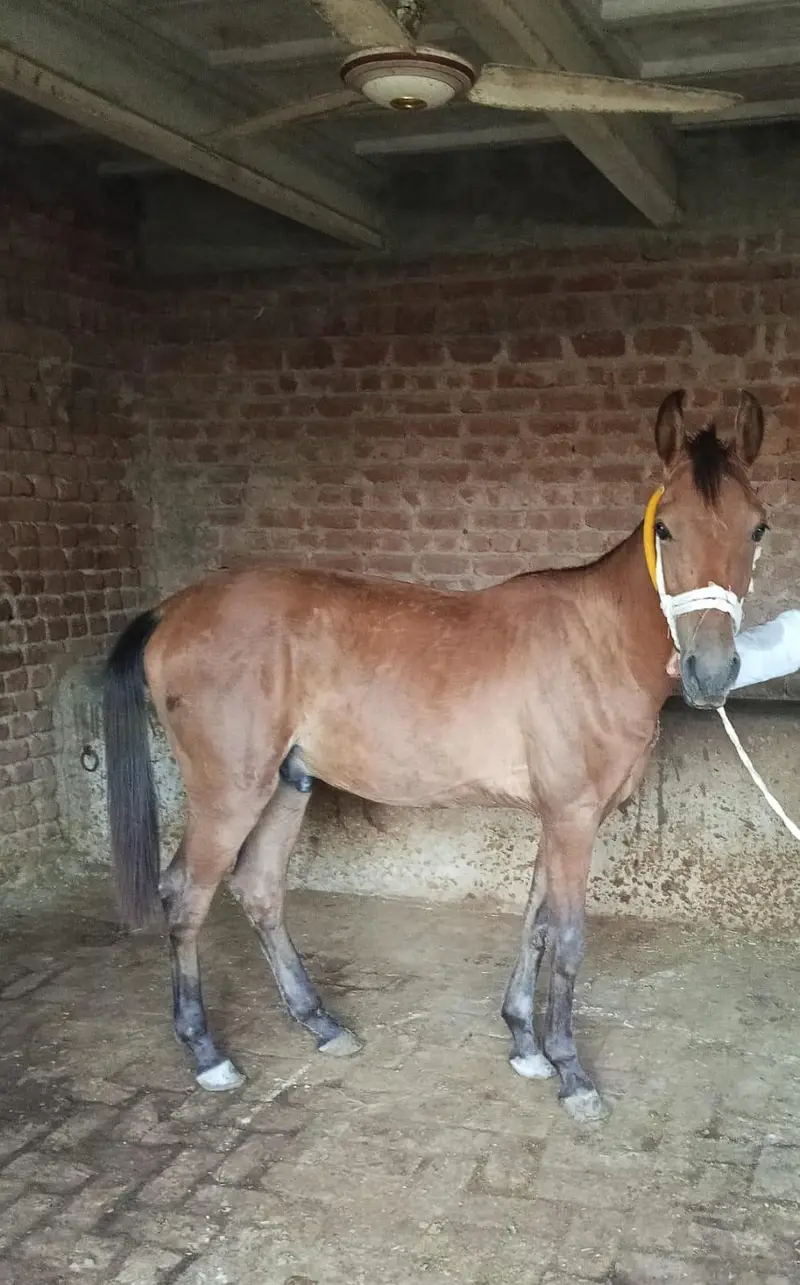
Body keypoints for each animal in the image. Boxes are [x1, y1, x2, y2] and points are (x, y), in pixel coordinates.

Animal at [103, 388, 767, 1123]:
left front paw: (525, 1043)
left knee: (259, 888)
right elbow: (566, 937)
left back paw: (321, 1023)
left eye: (758, 528)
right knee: (186, 895)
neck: (599, 641)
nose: (713, 672)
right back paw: (207, 1053)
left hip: (287, 783)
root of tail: (170, 610)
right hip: (230, 792)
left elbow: (535, 921)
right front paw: (571, 1071)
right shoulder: (573, 816)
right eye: (667, 530)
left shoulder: (557, 816)